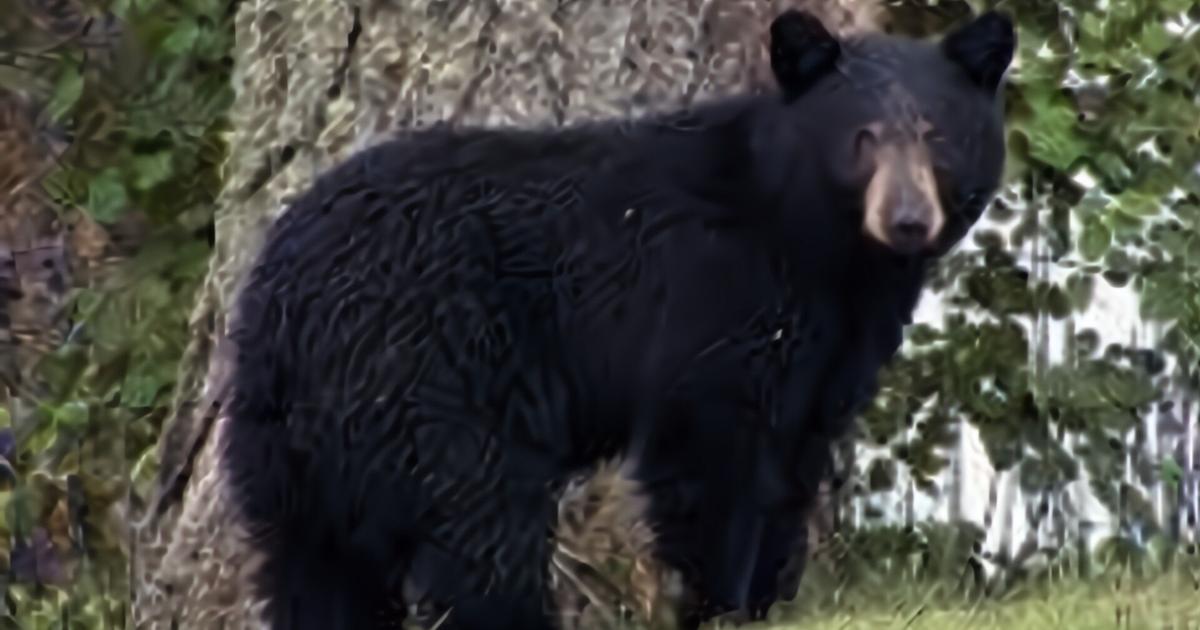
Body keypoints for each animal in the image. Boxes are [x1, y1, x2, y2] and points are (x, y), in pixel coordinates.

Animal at [219, 8, 1015, 630]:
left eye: (938, 135)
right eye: (863, 136)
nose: (907, 221)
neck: (819, 243)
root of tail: (283, 295)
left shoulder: (834, 345)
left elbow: (796, 455)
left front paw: (772, 598)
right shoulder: (715, 293)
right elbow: (713, 451)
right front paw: (720, 603)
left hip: (286, 443)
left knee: (313, 568)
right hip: (431, 374)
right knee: (480, 525)